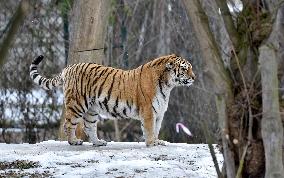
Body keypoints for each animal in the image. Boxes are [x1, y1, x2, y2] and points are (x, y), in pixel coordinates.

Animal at [30, 54, 195, 146]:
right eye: (184, 68)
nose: (194, 77)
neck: (167, 85)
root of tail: (68, 68)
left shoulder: (159, 113)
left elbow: (156, 129)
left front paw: (158, 141)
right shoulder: (148, 111)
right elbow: (149, 129)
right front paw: (151, 143)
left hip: (92, 110)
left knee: (88, 126)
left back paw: (98, 142)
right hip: (77, 105)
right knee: (68, 124)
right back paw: (74, 141)